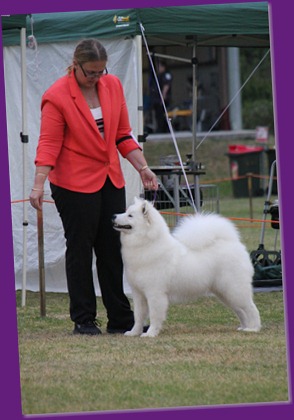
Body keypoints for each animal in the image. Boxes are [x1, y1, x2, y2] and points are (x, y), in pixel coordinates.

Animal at [112, 198, 260, 338]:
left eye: (130, 215)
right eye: (125, 212)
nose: (113, 216)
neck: (146, 244)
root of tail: (234, 243)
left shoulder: (155, 293)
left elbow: (154, 316)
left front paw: (150, 333)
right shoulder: (138, 293)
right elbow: (138, 316)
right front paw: (134, 332)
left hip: (234, 289)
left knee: (251, 308)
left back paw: (253, 328)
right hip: (225, 292)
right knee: (240, 311)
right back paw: (243, 327)